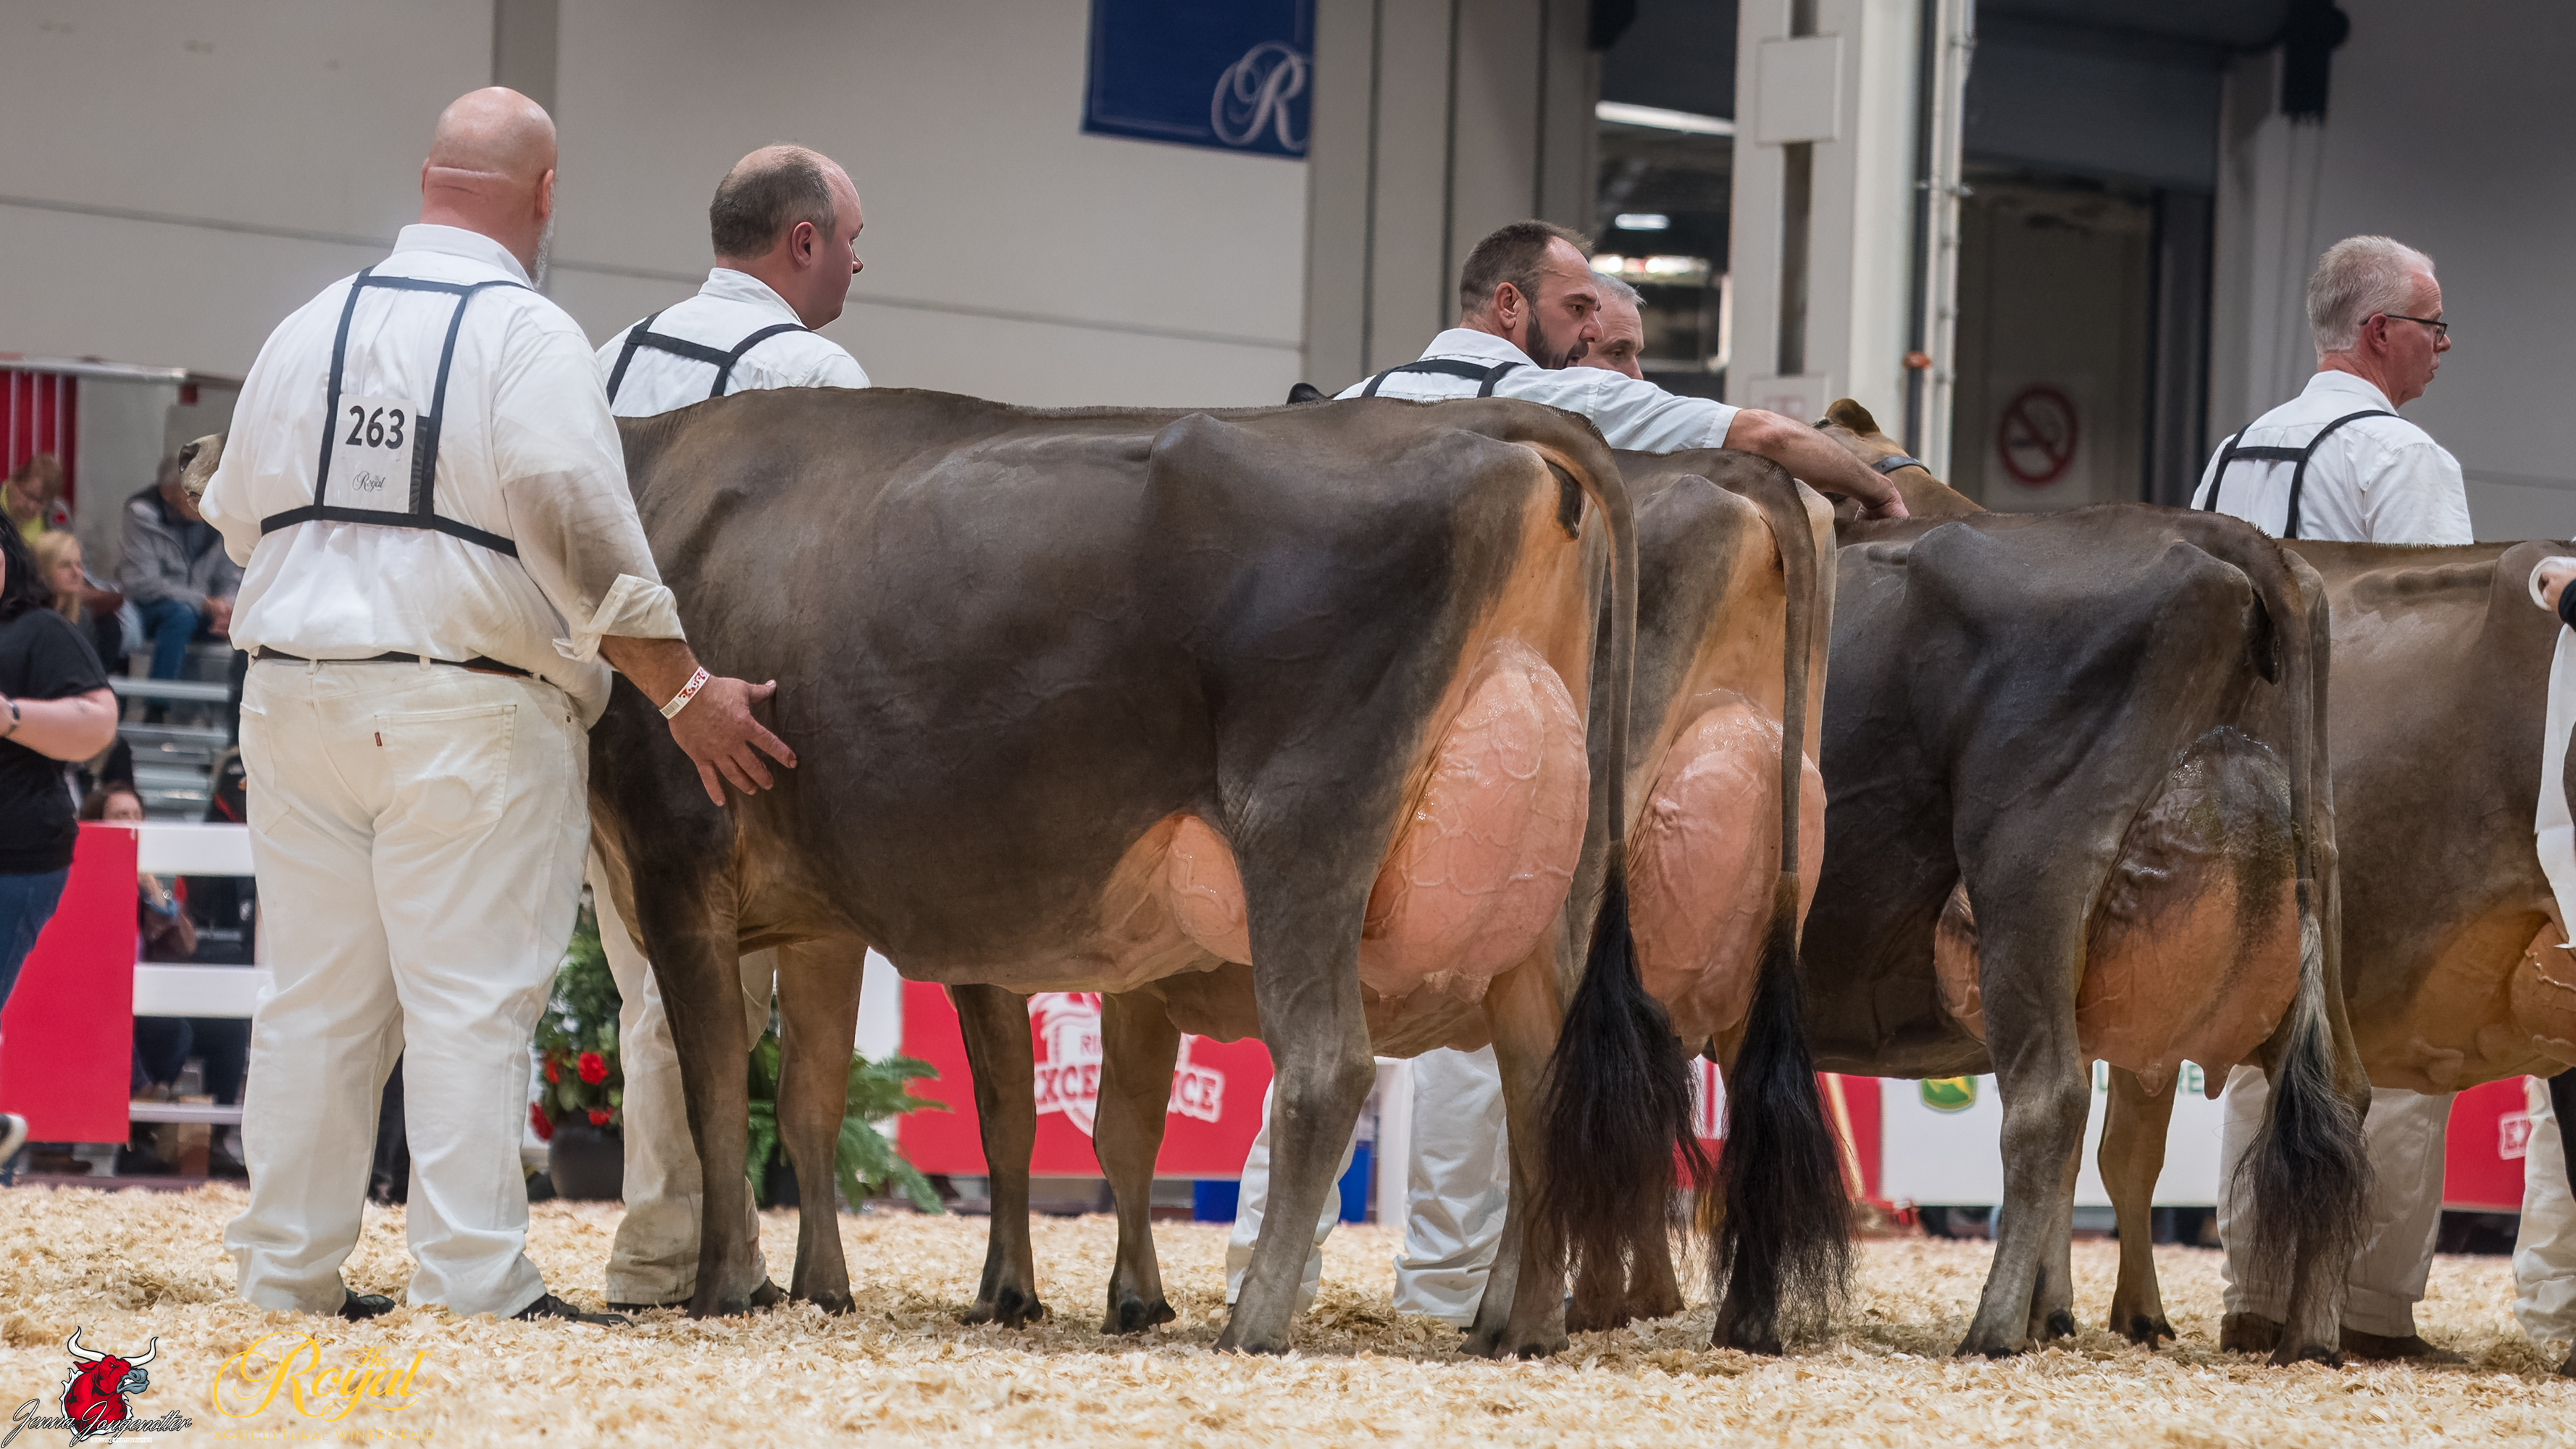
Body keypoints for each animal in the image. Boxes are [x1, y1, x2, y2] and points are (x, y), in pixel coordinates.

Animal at [590, 387, 1687, 1356]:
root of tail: (1478, 420)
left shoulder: (675, 857)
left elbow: (712, 1091)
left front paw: (725, 1287)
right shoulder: (819, 916)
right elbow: (821, 1099)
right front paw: (828, 1288)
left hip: (1302, 829)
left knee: (1326, 1066)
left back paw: (1255, 1324)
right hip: (1544, 889)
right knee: (1540, 1092)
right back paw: (1522, 1326)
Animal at [950, 442, 1854, 1353]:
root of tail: (1737, 475)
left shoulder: (1000, 957)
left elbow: (1029, 1119)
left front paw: (1025, 1290)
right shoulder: (1130, 975)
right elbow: (1118, 1124)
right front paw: (1122, 1294)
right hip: (1751, 920)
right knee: (1725, 1101)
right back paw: (1713, 1314)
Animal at [1805, 400, 2370, 1363]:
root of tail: (2222, 533)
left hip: (2031, 870)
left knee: (2048, 1101)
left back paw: (1993, 1326)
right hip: (2313, 883)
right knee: (2335, 1095)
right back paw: (2307, 1335)